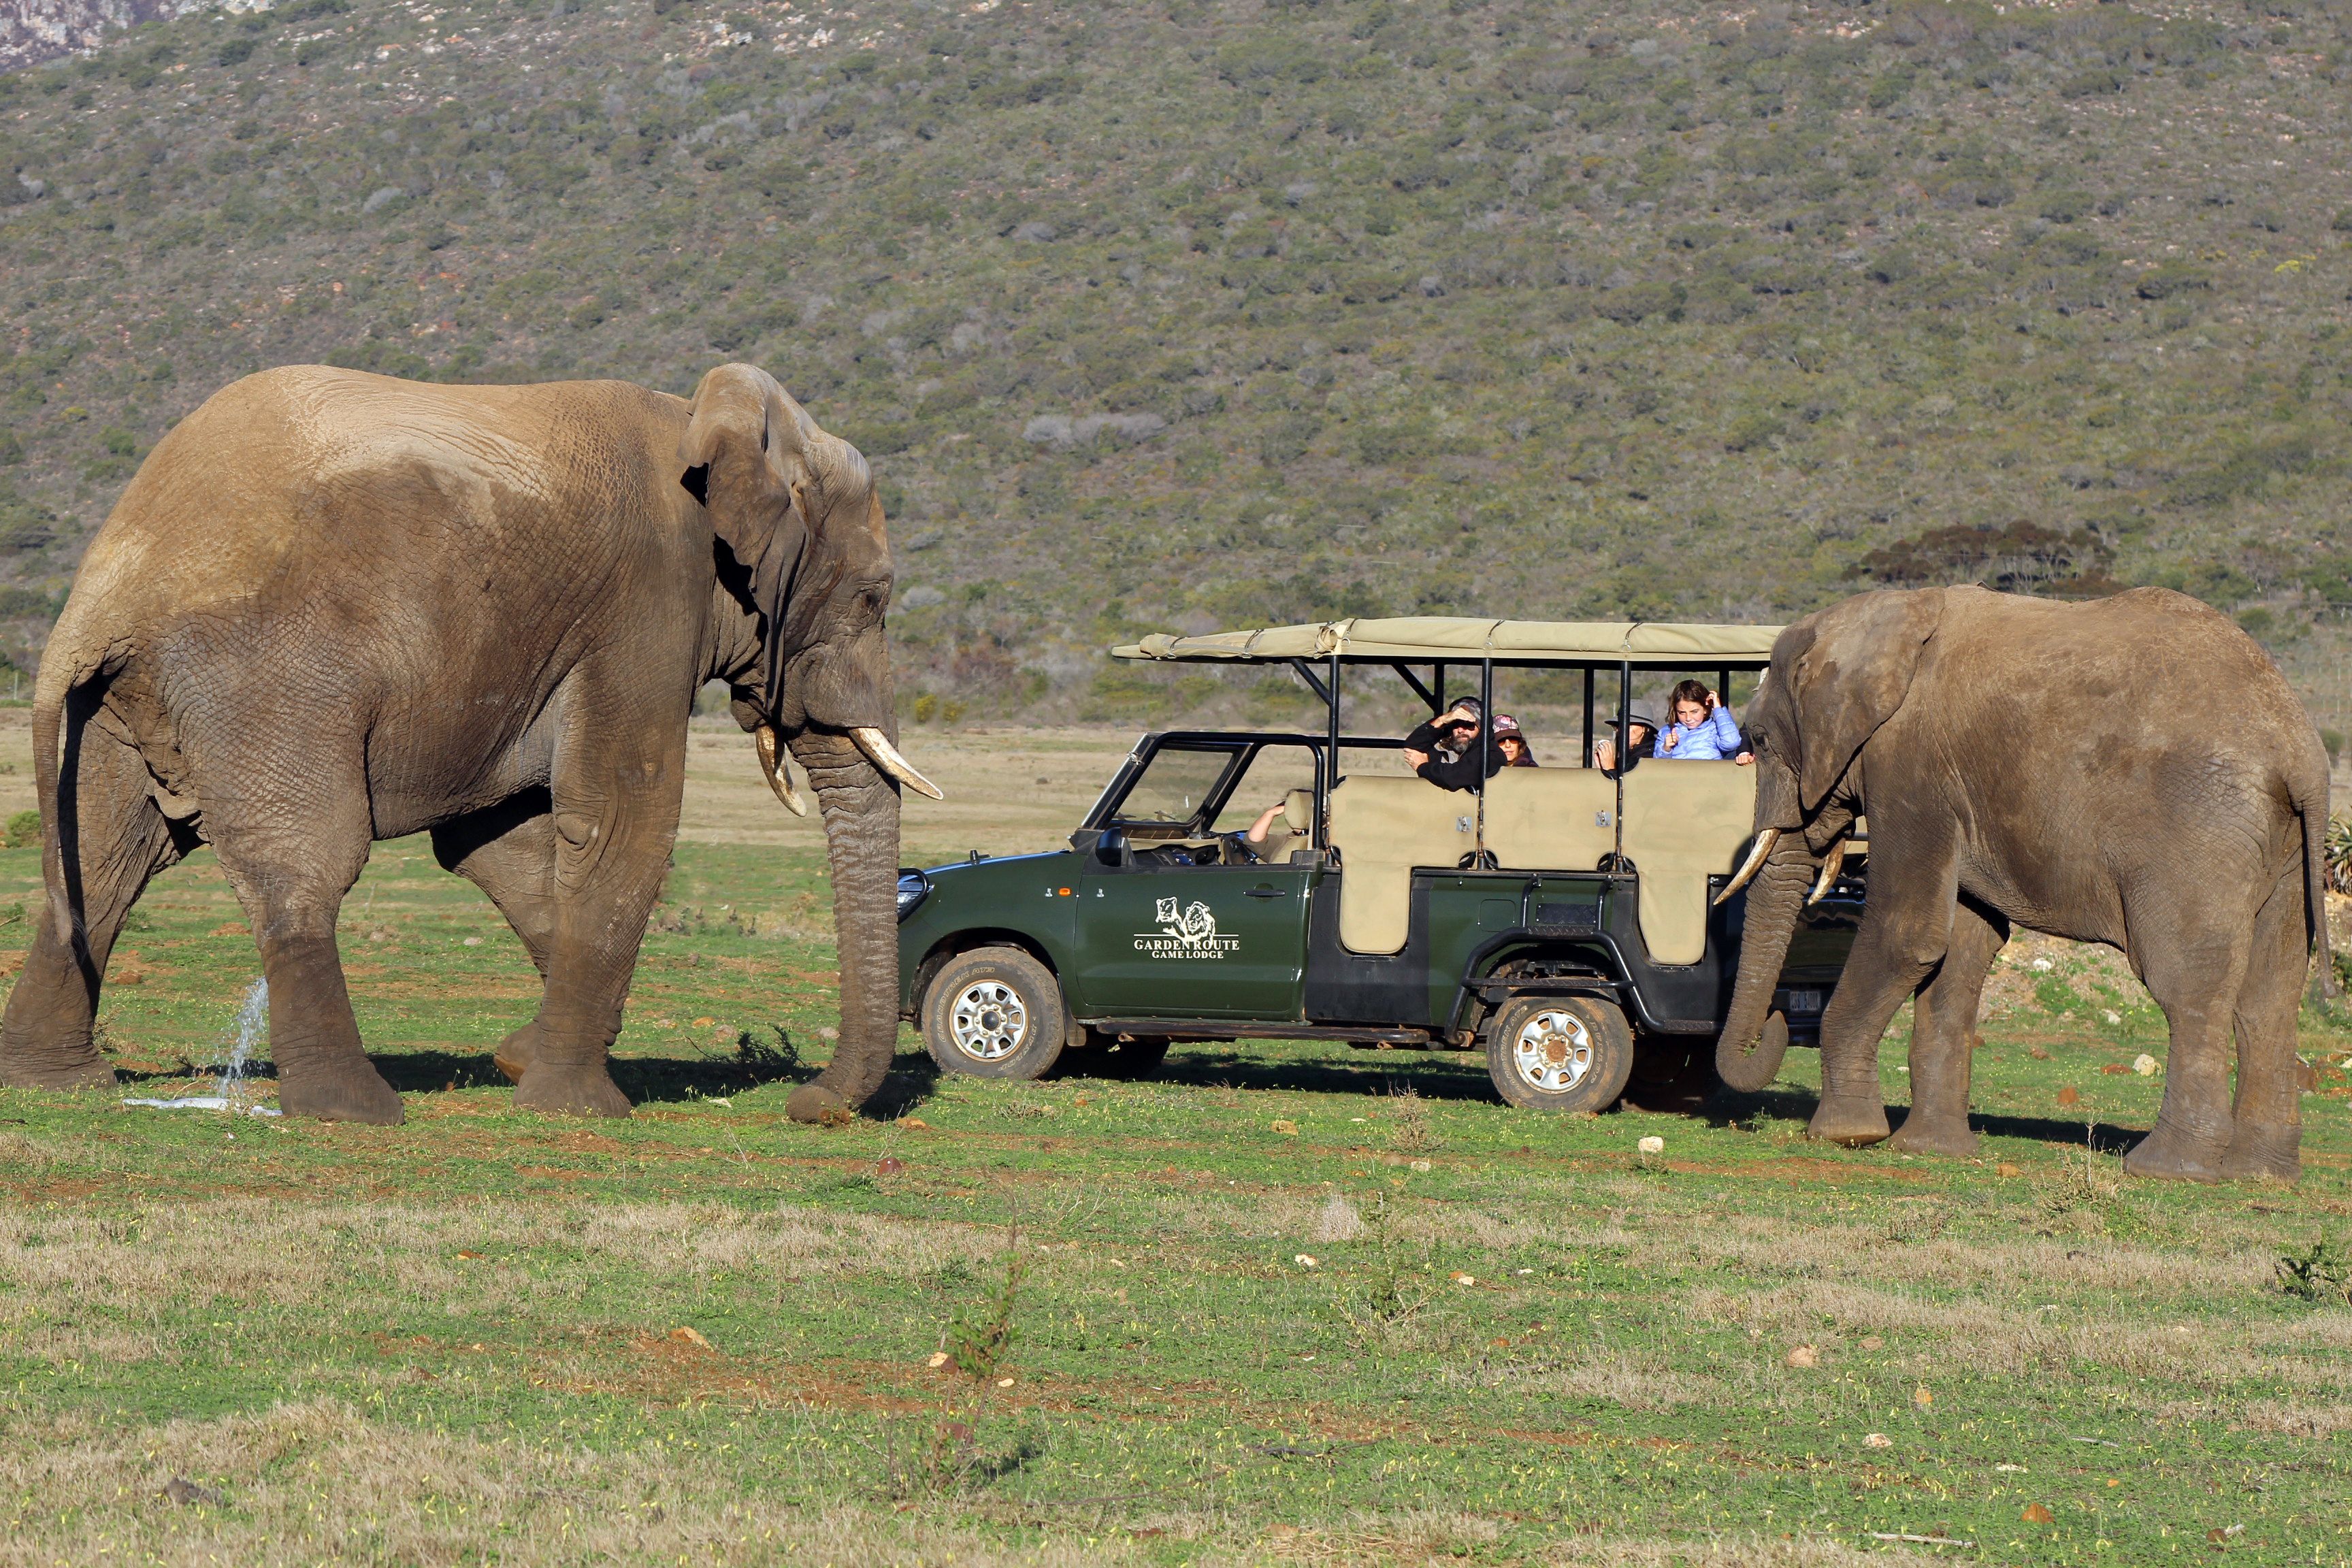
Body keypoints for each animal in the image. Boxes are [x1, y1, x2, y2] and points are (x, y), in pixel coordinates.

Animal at [0, 362, 939, 1125]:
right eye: (873, 598)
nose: (805, 1104)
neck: (711, 423)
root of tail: (101, 592)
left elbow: (501, 842)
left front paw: (523, 1057)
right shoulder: (649, 597)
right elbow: (620, 818)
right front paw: (576, 1106)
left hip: (122, 704)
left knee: (108, 860)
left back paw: (57, 1085)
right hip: (263, 676)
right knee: (303, 862)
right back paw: (353, 1111)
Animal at [1712, 586, 2330, 1182]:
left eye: (1759, 739)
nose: (1774, 1023)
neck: (1885, 616)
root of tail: (2299, 750)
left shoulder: (1910, 765)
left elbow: (1910, 935)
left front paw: (1845, 1136)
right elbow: (1962, 947)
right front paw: (1930, 1151)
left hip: (2196, 833)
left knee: (2189, 984)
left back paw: (2168, 1170)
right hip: (2288, 849)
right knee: (2269, 997)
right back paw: (2262, 1175)